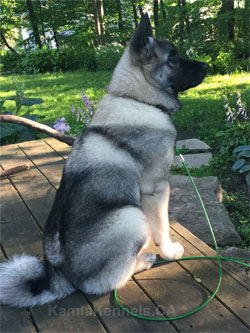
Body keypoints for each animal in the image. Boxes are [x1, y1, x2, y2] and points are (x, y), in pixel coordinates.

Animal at [0, 14, 208, 308]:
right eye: (173, 57)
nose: (207, 66)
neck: (138, 99)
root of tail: (62, 275)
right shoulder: (156, 190)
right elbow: (163, 227)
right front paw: (168, 251)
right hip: (132, 216)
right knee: (108, 280)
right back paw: (144, 259)